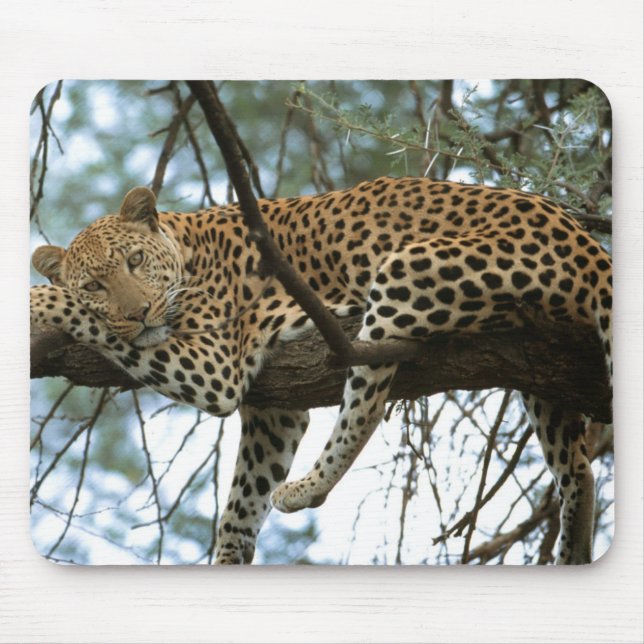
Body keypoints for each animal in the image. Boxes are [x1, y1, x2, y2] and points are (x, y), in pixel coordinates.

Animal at [30, 176, 612, 565]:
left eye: (133, 262)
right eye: (96, 285)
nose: (140, 314)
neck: (186, 247)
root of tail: (587, 242)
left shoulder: (215, 366)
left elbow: (80, 315)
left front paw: (39, 301)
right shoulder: (273, 410)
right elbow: (242, 500)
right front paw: (230, 556)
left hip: (403, 271)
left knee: (366, 406)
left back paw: (308, 487)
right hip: (541, 369)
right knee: (578, 468)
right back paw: (574, 549)